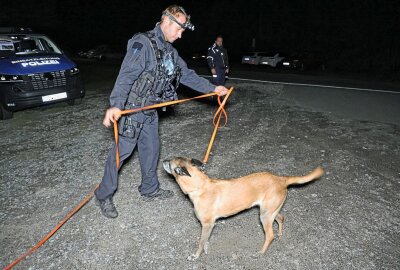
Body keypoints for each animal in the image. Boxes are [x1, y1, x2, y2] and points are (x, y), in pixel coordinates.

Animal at [164, 157, 324, 260]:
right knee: (281, 218)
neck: (200, 186)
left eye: (170, 163)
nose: (163, 160)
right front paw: (205, 250)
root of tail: (281, 179)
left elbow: (201, 242)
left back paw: (261, 253)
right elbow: (206, 241)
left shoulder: (207, 224)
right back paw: (279, 234)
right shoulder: (209, 225)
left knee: (269, 235)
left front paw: (195, 256)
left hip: (265, 216)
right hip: (269, 211)